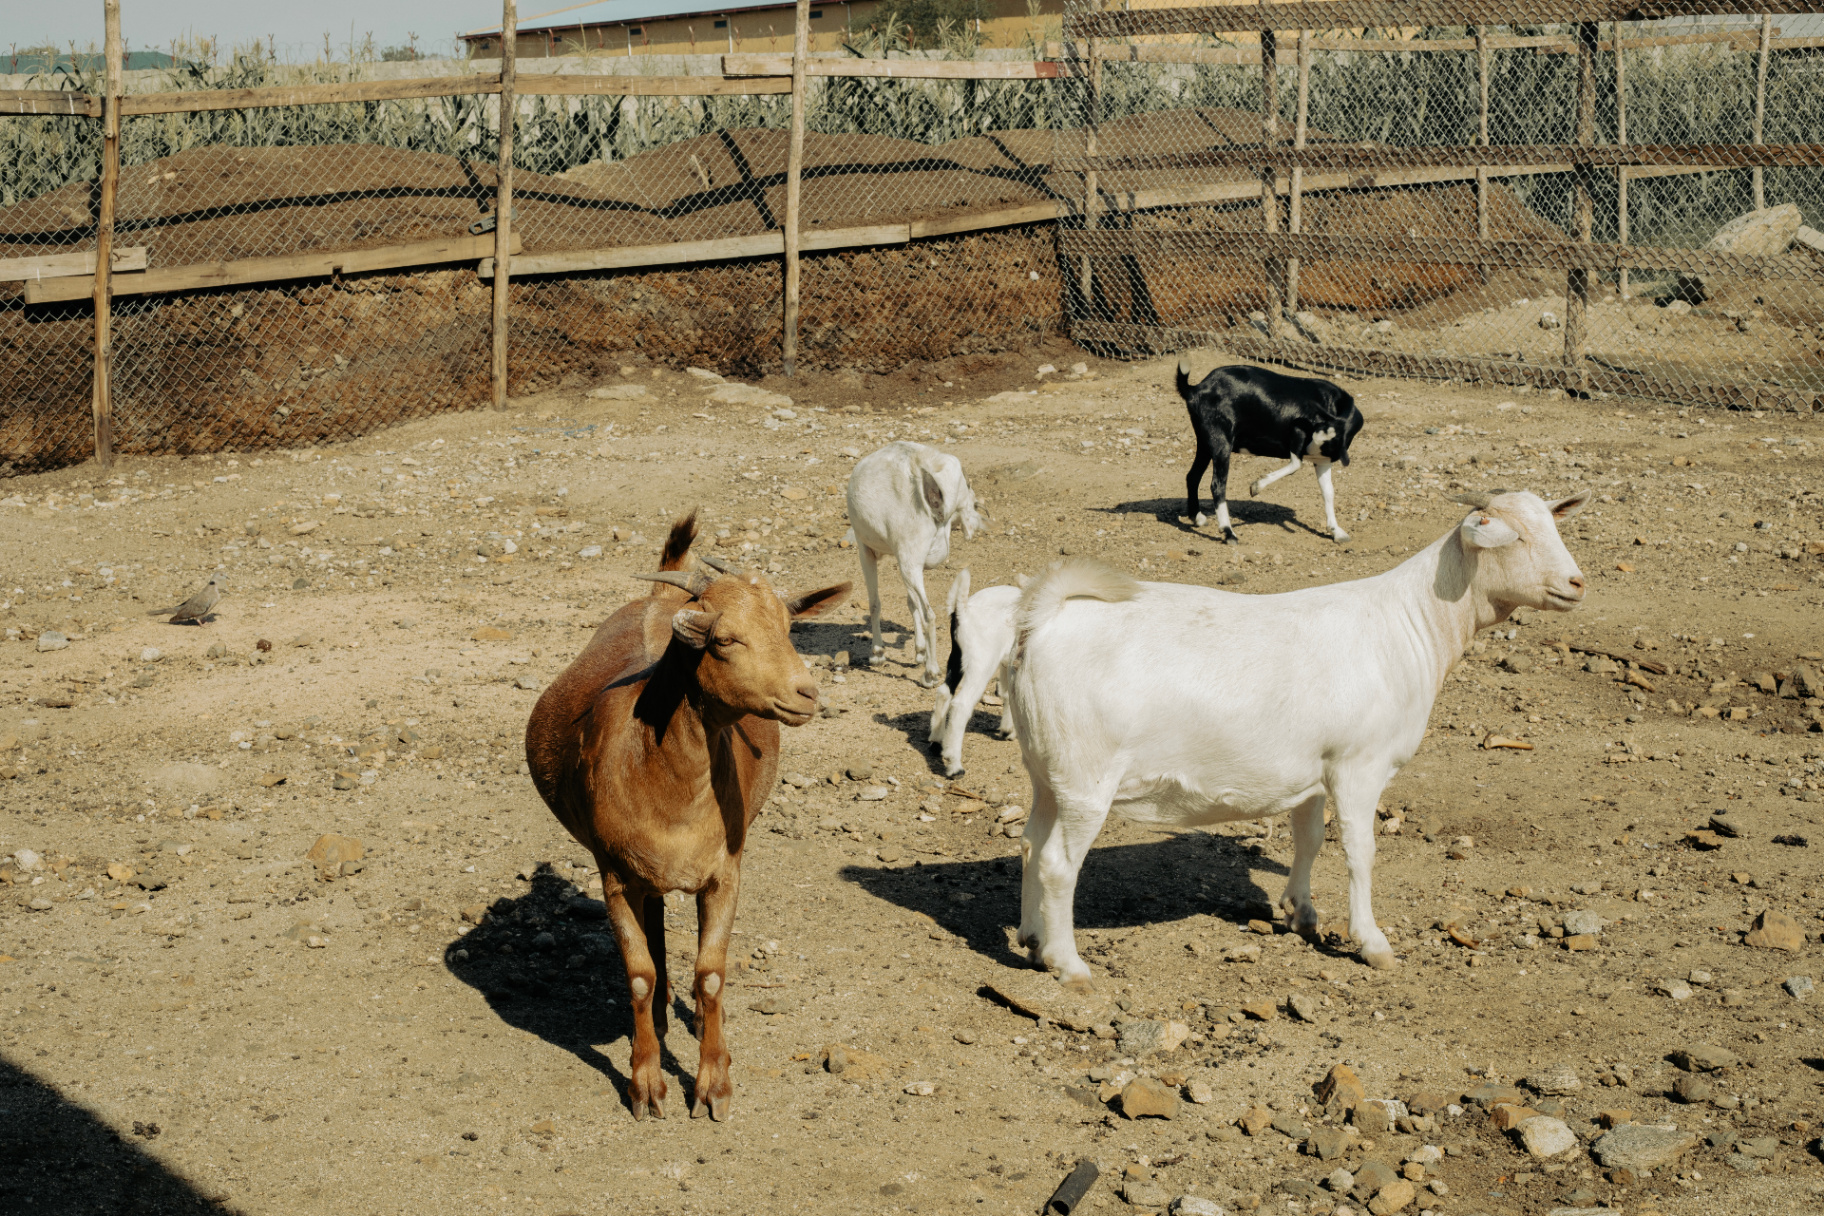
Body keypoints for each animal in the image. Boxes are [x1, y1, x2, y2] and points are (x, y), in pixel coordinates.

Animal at [844, 440, 983, 687]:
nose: (977, 514)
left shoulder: (866, 549)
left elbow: (874, 603)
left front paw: (878, 654)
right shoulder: (907, 561)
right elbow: (911, 602)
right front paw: (918, 651)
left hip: (906, 558)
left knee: (930, 615)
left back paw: (930, 674)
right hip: (911, 563)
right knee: (923, 607)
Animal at [927, 567, 1024, 777]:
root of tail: (963, 610)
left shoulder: (1007, 662)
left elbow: (1007, 693)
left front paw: (1007, 731)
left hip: (957, 657)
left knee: (944, 692)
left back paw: (936, 743)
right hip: (981, 663)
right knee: (961, 705)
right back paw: (954, 766)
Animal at [1005, 489, 1590, 989]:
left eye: (1553, 525)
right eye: (1514, 536)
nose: (1577, 583)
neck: (1411, 624)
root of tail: (1048, 617)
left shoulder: (1313, 769)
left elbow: (1308, 840)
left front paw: (1302, 914)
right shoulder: (1359, 764)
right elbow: (1360, 851)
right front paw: (1372, 943)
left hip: (1048, 772)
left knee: (1031, 843)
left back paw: (1033, 940)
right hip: (1087, 777)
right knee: (1058, 864)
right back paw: (1069, 965)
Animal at [1177, 362, 1364, 544]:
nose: (1306, 449)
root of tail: (1197, 388)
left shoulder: (1322, 458)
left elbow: (1328, 491)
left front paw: (1337, 532)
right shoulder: (1299, 436)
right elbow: (1296, 464)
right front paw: (1255, 487)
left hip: (1204, 441)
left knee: (1192, 476)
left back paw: (1197, 517)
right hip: (1220, 439)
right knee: (1217, 485)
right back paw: (1229, 532)